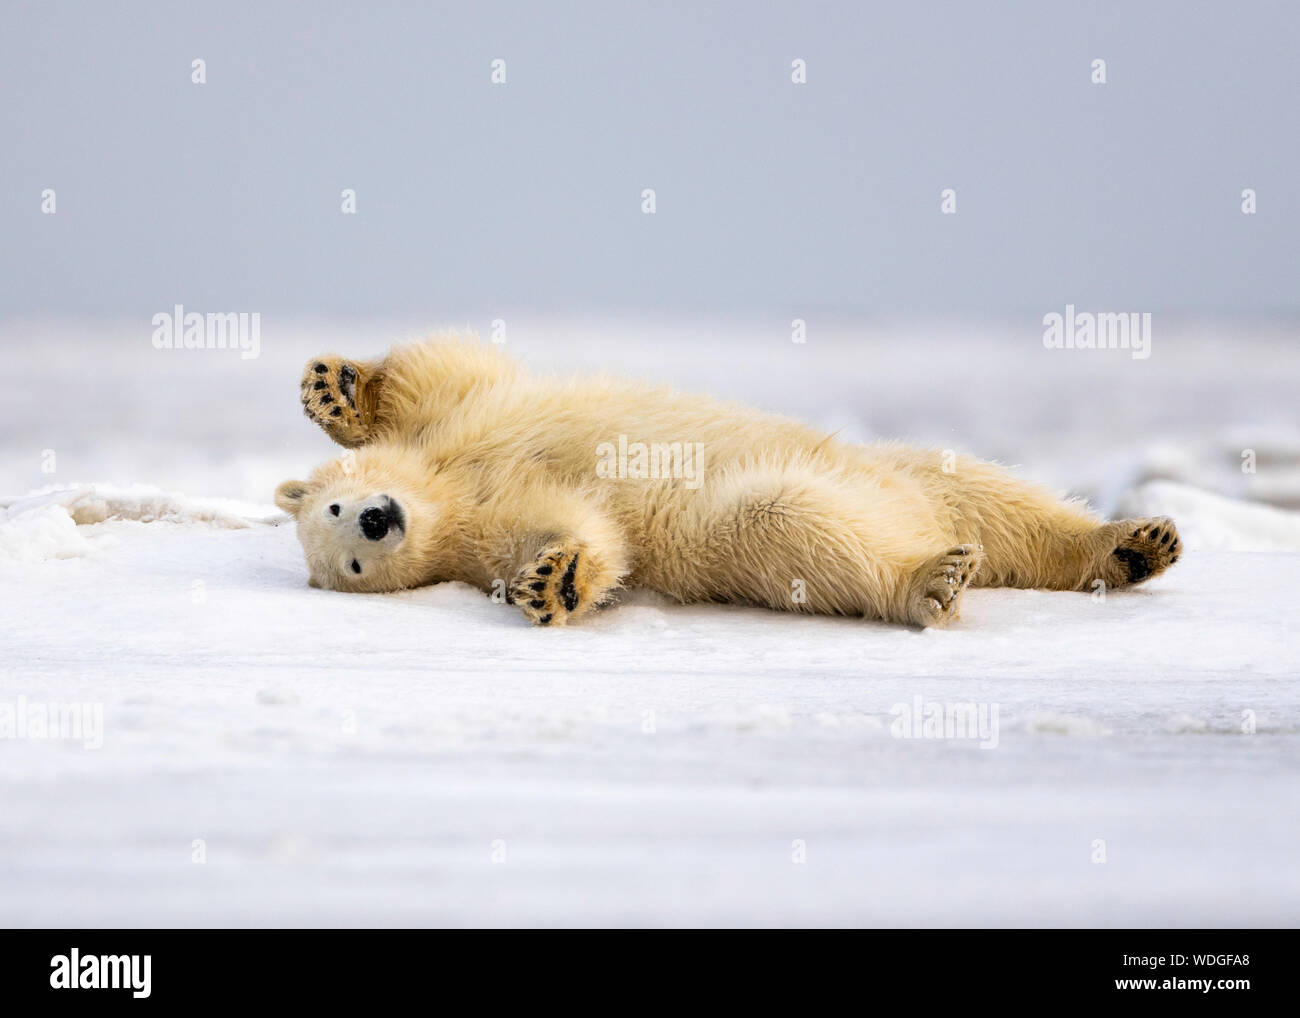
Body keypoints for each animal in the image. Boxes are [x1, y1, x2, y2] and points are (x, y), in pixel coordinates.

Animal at [275, 335, 1181, 627]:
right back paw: (930, 577)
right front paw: (551, 579)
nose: (376, 521)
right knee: (784, 526)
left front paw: (335, 389)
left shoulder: (462, 425)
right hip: (742, 526)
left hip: (909, 469)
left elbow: (444, 364)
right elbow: (586, 534)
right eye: (349, 560)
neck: (446, 490)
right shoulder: (482, 530)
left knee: (1000, 501)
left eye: (337, 503)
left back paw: (1134, 541)